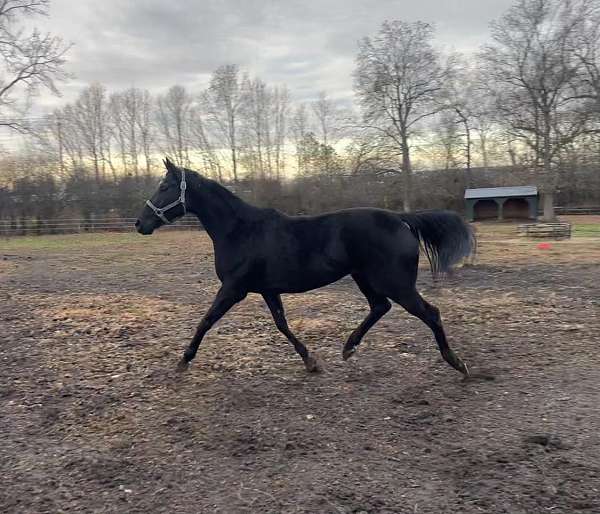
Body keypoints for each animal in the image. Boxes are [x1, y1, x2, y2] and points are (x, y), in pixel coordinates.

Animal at [135, 158, 474, 374]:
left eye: (164, 187)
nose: (140, 223)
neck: (240, 231)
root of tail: (401, 219)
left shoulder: (233, 289)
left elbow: (205, 320)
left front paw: (183, 361)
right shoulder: (267, 290)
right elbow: (282, 324)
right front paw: (310, 361)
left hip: (396, 283)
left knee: (430, 313)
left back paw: (457, 362)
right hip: (365, 277)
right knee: (380, 307)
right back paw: (348, 348)